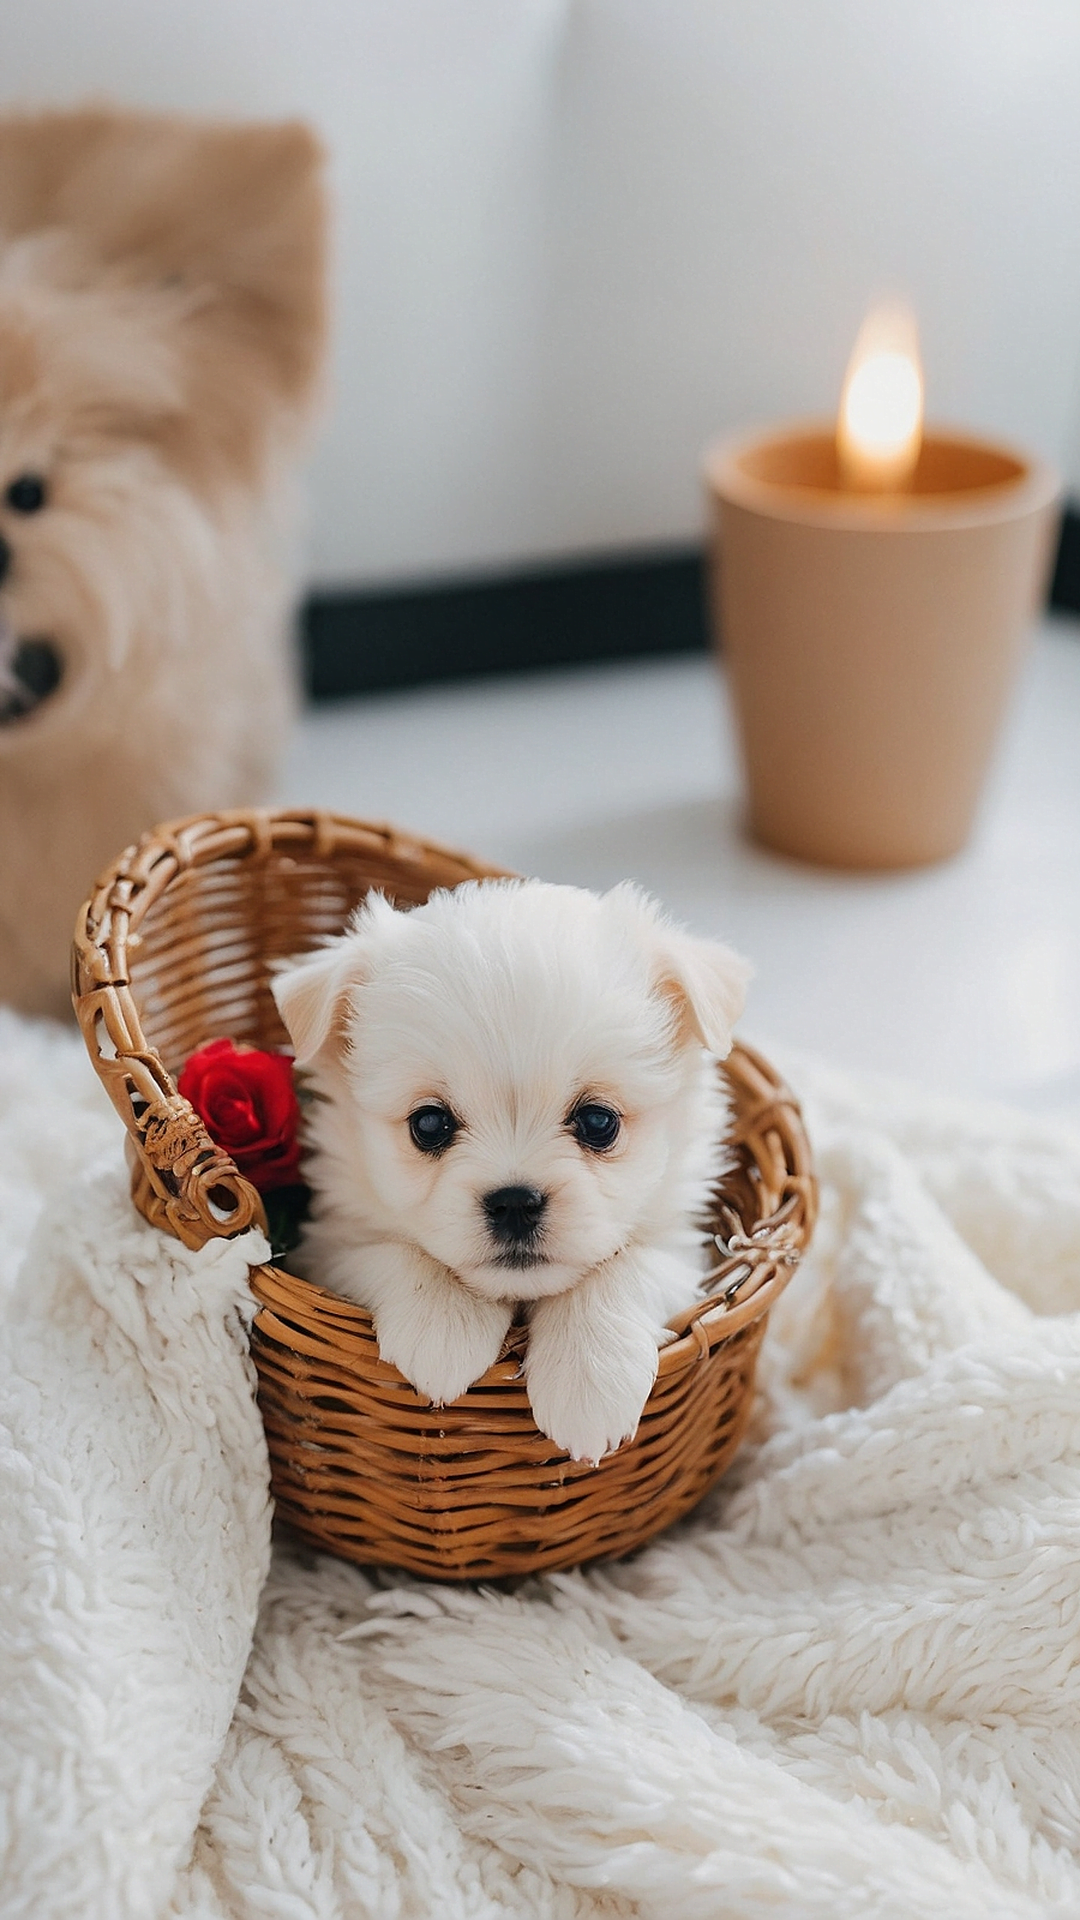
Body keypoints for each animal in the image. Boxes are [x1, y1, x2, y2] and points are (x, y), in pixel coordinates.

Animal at [272, 879, 745, 1459]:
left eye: (598, 1121)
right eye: (429, 1124)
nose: (515, 1202)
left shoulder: (680, 1244)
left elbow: (626, 1265)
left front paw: (589, 1376)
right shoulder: (328, 1245)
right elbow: (393, 1252)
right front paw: (443, 1326)